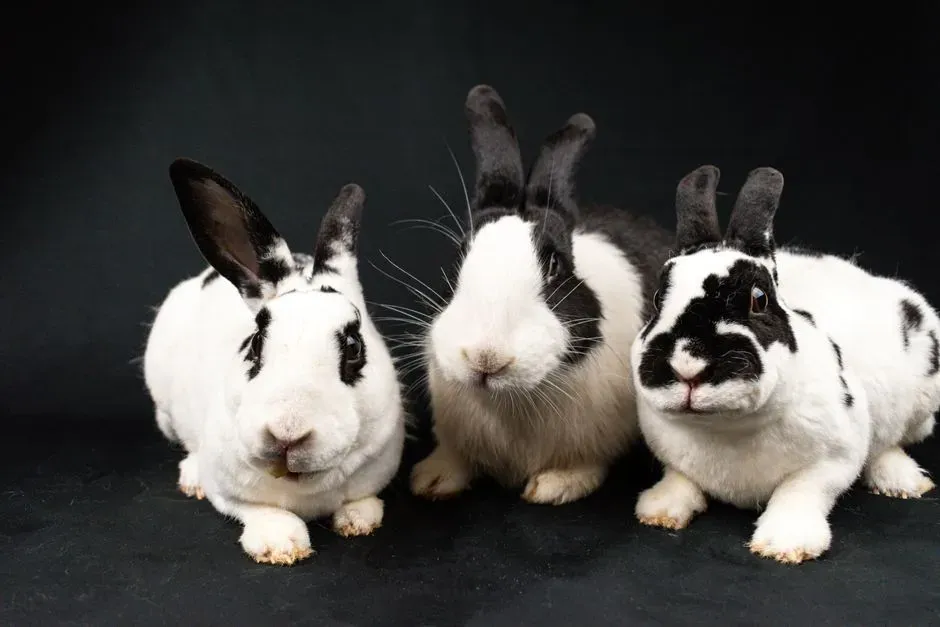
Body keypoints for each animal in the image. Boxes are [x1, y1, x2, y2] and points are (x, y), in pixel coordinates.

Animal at [142, 158, 406, 565]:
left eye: (354, 348)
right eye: (255, 343)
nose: (286, 434)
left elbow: (363, 500)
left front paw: (359, 521)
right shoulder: (228, 490)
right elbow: (259, 510)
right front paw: (280, 545)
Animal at [409, 85, 674, 505]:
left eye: (555, 266)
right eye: (459, 256)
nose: (486, 358)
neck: (511, 399)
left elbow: (583, 465)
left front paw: (554, 486)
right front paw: (431, 479)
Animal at [631, 165, 938, 564]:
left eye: (759, 299)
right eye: (657, 300)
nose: (687, 366)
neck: (726, 428)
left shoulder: (834, 459)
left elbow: (800, 491)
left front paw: (786, 544)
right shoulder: (672, 456)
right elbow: (680, 479)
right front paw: (659, 510)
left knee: (891, 443)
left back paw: (904, 482)